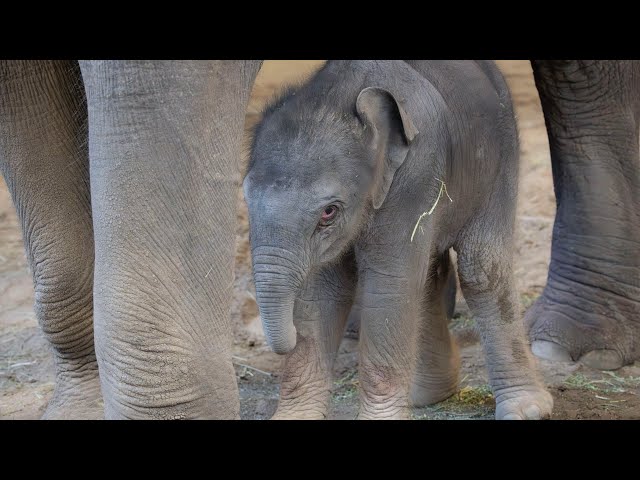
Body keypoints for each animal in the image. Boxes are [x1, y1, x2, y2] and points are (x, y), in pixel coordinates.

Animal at [242, 61, 552, 420]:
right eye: (245, 198)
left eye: (329, 212)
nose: (290, 337)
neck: (341, 96)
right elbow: (321, 291)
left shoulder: (415, 173)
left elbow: (390, 283)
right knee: (429, 276)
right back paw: (428, 394)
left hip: (502, 155)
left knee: (481, 270)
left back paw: (526, 408)